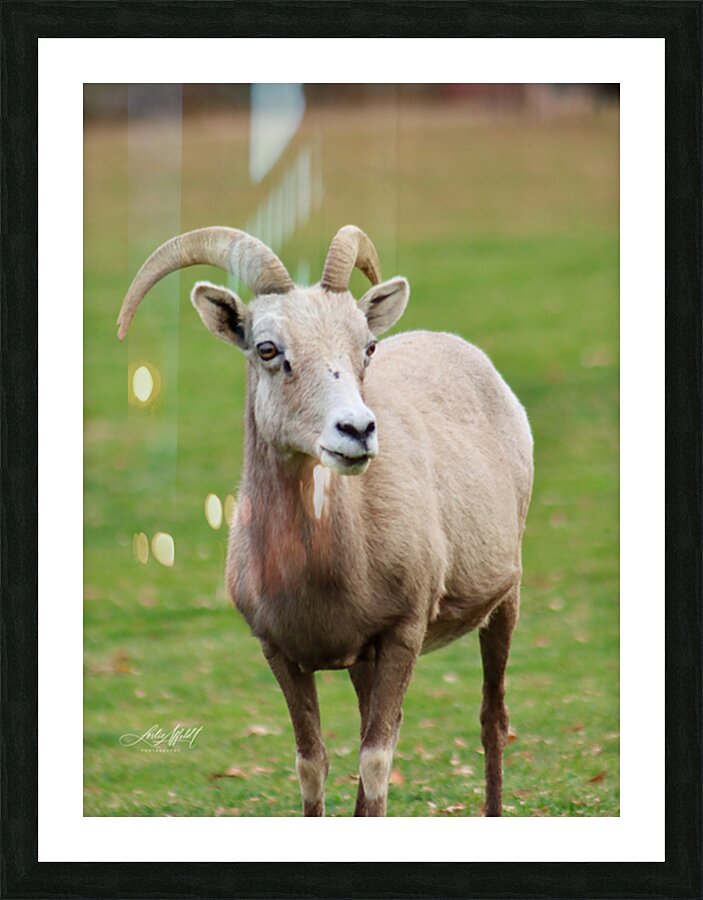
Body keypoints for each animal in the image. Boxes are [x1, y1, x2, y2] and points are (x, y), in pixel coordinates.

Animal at [118, 225, 534, 817]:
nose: (356, 430)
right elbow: (312, 766)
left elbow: (376, 763)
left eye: (368, 347)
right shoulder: (281, 653)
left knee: (492, 720)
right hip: (364, 664)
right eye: (267, 349)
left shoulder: (403, 634)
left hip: (504, 601)